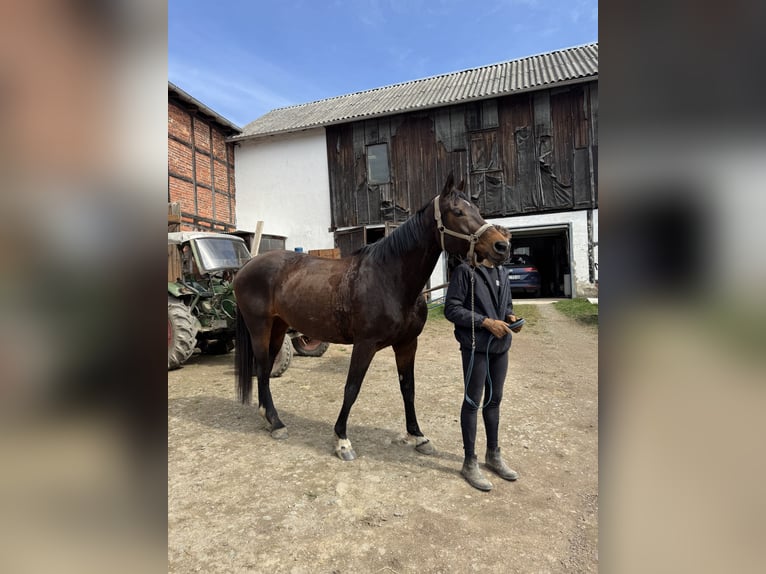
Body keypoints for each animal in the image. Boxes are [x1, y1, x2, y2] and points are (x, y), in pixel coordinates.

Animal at [234, 173, 510, 460]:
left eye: (476, 209)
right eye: (457, 212)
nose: (502, 246)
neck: (389, 278)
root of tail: (247, 266)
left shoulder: (408, 344)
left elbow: (408, 389)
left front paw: (417, 435)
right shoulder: (364, 345)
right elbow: (352, 388)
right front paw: (342, 440)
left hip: (278, 327)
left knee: (265, 369)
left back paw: (270, 419)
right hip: (260, 328)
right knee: (262, 367)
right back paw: (275, 422)